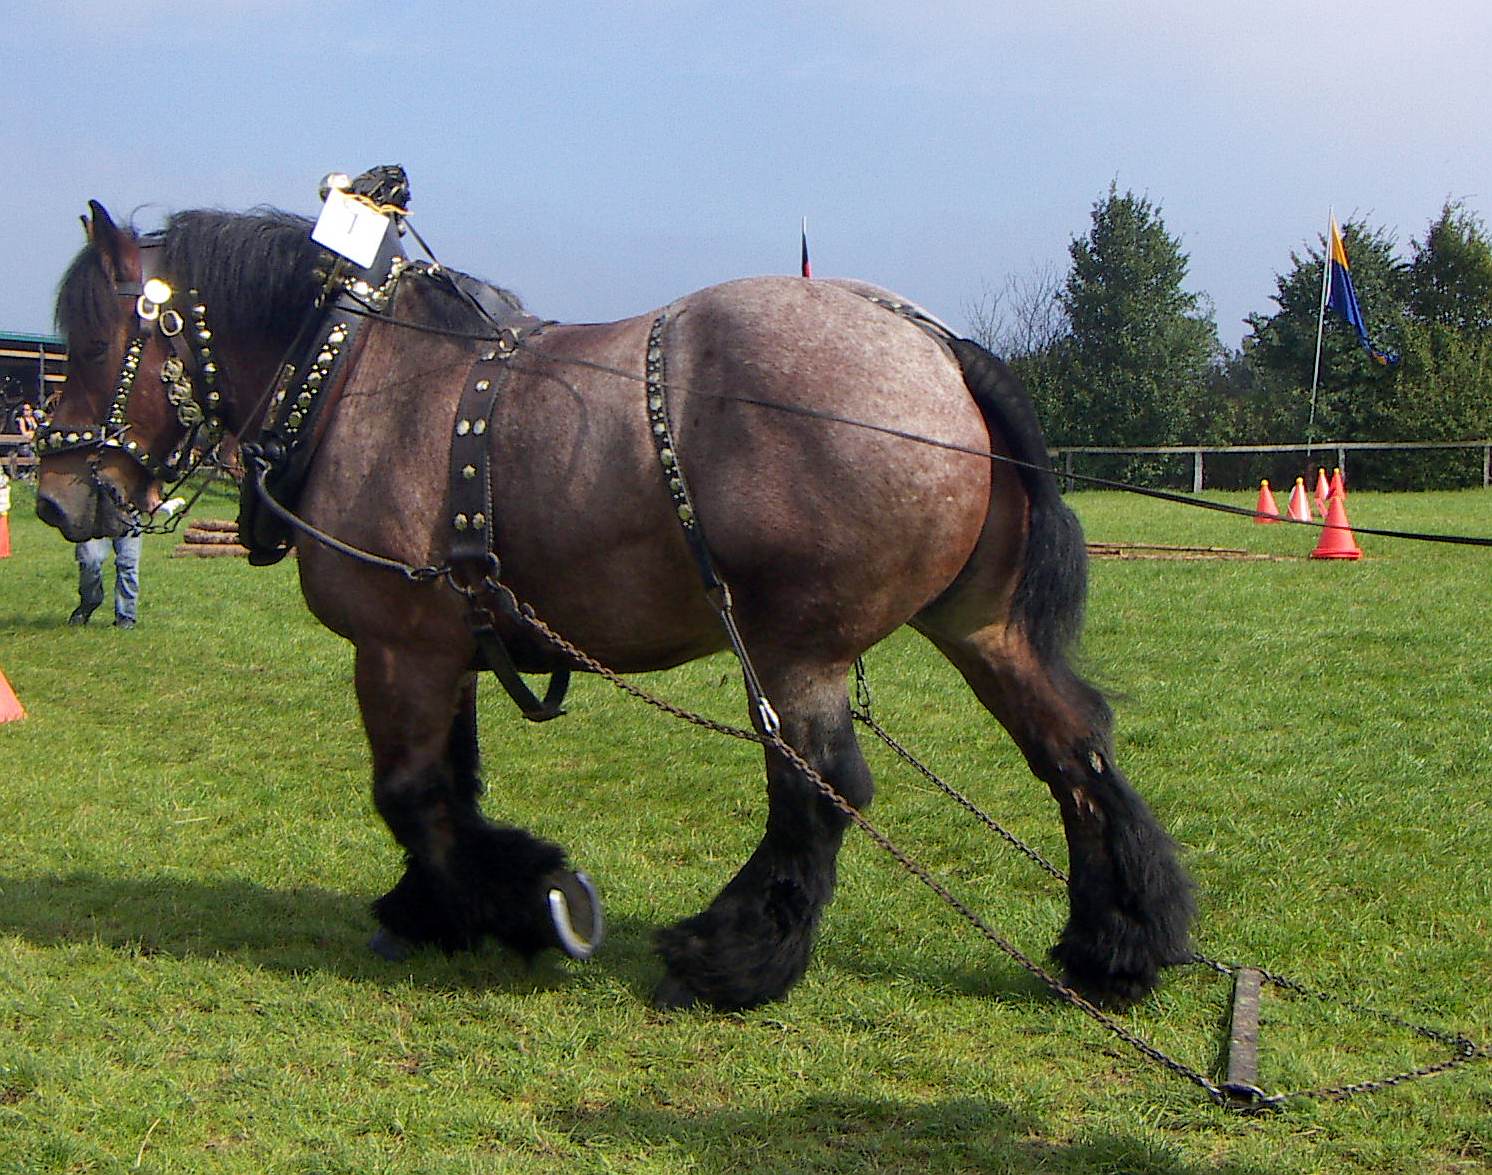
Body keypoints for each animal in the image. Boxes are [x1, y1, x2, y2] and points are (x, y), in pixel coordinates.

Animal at [35, 195, 1195, 1012]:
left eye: (89, 347)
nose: (53, 497)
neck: (354, 380)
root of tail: (936, 347)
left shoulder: (396, 643)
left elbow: (409, 792)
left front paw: (528, 902)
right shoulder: (447, 641)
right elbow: (447, 786)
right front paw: (440, 905)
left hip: (794, 646)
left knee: (821, 789)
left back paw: (727, 959)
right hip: (975, 624)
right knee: (1073, 747)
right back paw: (1119, 941)